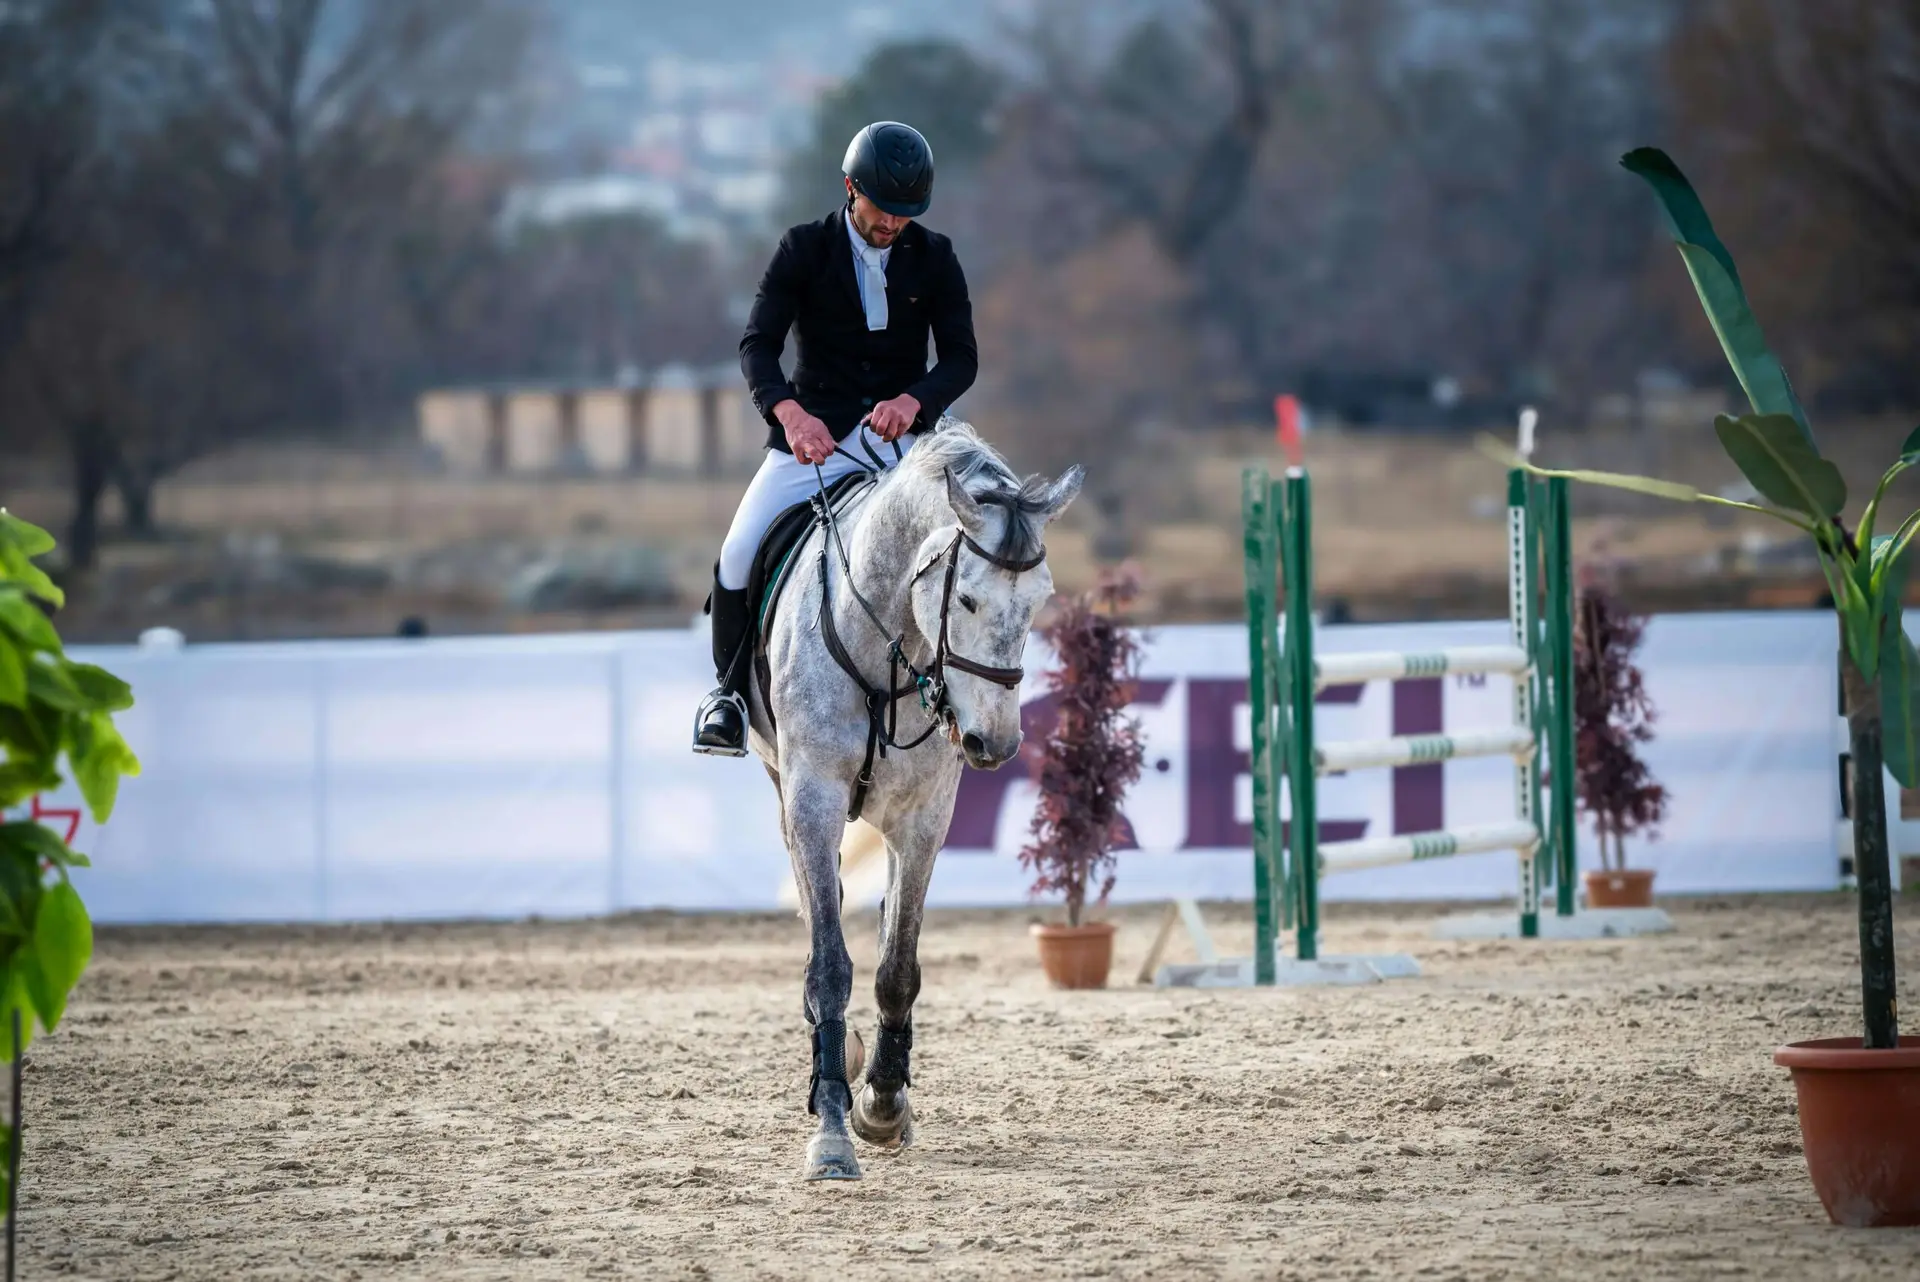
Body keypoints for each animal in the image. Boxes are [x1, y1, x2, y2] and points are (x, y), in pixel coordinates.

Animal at [745, 417, 1082, 1181]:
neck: (887, 646)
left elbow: (897, 968)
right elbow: (830, 965)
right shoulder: (812, 796)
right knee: (817, 907)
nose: (996, 742)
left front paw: (882, 1105)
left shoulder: (924, 818)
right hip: (787, 792)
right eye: (967, 600)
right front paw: (833, 1131)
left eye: (1040, 601)